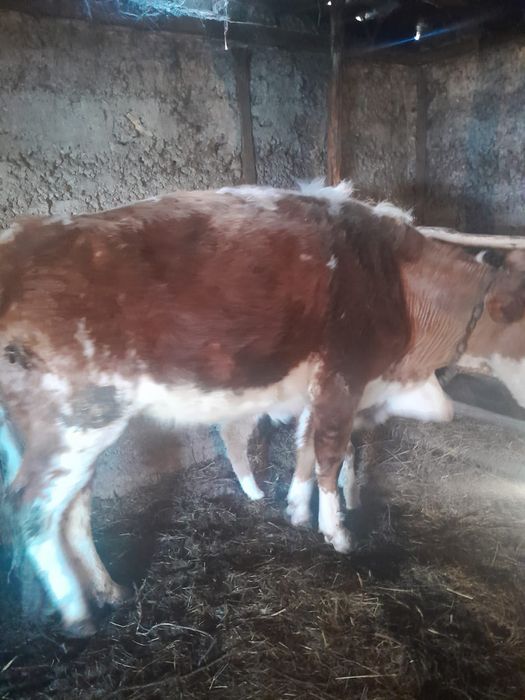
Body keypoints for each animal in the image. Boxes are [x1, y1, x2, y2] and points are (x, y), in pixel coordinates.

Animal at [1, 183, 524, 637]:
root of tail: (21, 239)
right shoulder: (344, 375)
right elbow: (329, 453)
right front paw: (337, 533)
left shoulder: (321, 385)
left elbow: (306, 447)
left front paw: (294, 509)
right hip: (76, 420)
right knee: (31, 506)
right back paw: (76, 612)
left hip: (73, 431)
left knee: (73, 507)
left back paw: (109, 590)